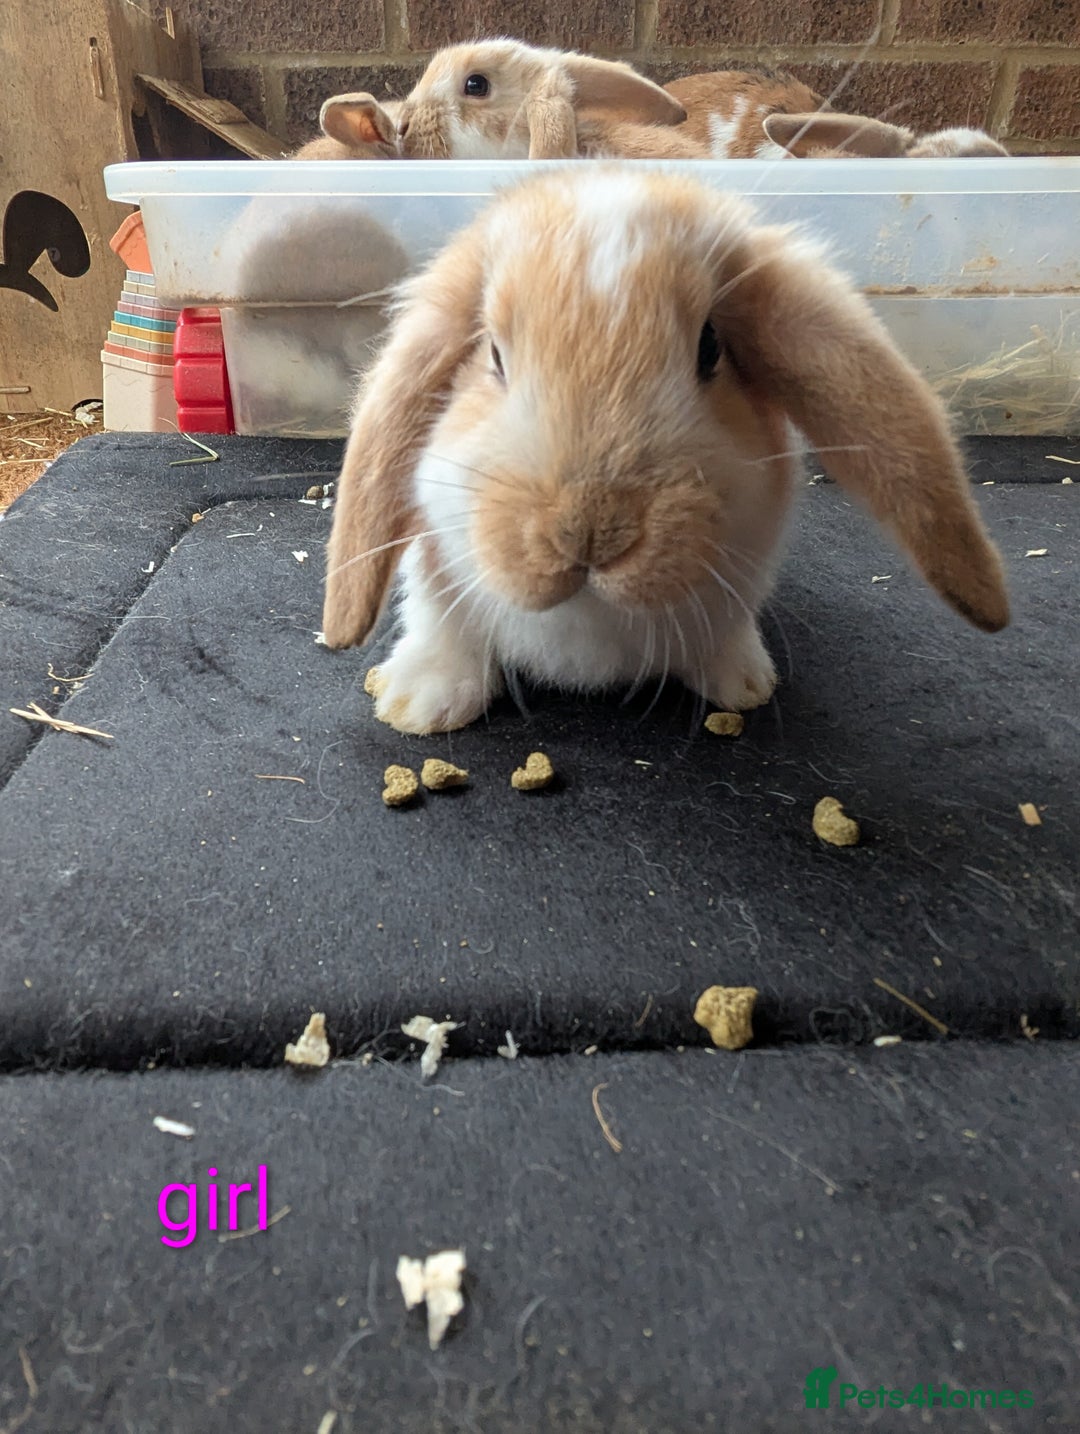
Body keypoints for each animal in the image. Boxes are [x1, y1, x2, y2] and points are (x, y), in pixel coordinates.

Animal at [321, 167, 1009, 735]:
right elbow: (443, 627)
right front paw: (420, 705)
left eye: (710, 348)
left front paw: (744, 686)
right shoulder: (435, 577)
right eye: (492, 353)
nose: (591, 531)